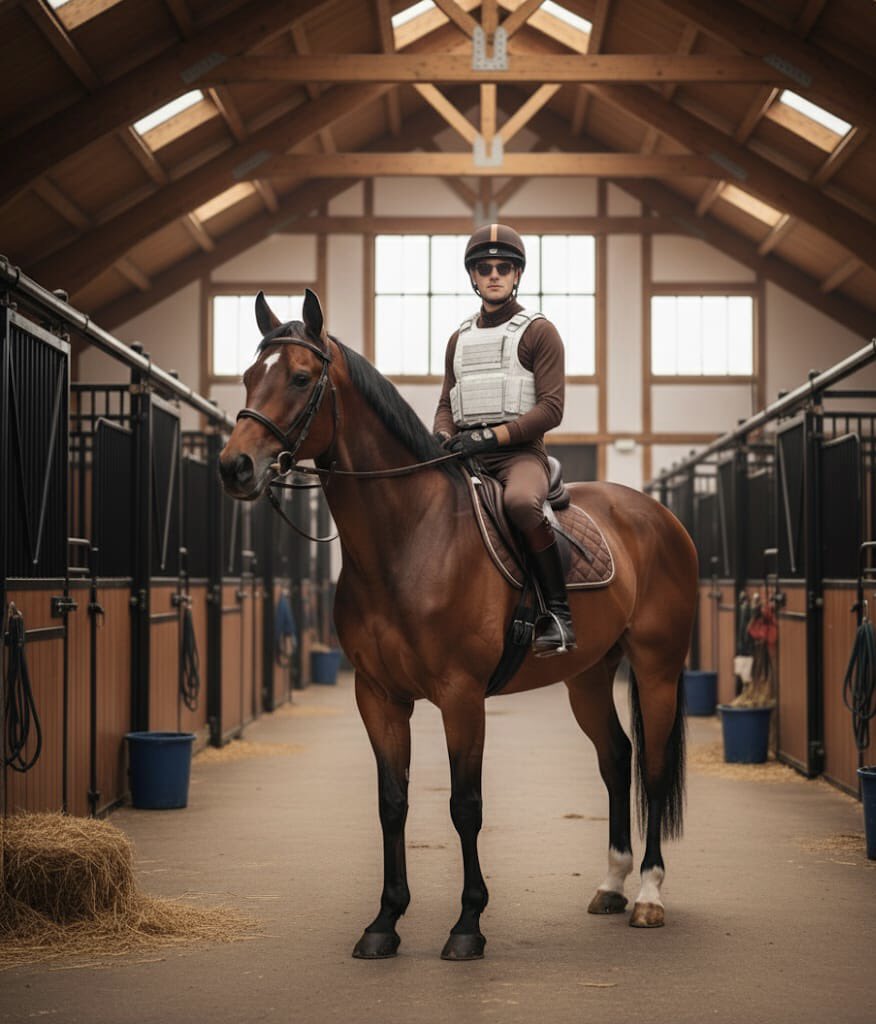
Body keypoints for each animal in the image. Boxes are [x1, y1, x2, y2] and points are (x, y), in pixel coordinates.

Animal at [219, 290, 698, 961]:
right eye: (246, 375)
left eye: (300, 377)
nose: (234, 467)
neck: (410, 540)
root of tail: (657, 514)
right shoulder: (378, 697)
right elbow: (392, 803)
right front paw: (384, 921)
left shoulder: (461, 696)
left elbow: (465, 806)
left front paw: (468, 924)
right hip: (587, 676)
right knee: (616, 758)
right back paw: (611, 885)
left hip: (656, 669)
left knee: (650, 768)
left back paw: (649, 895)